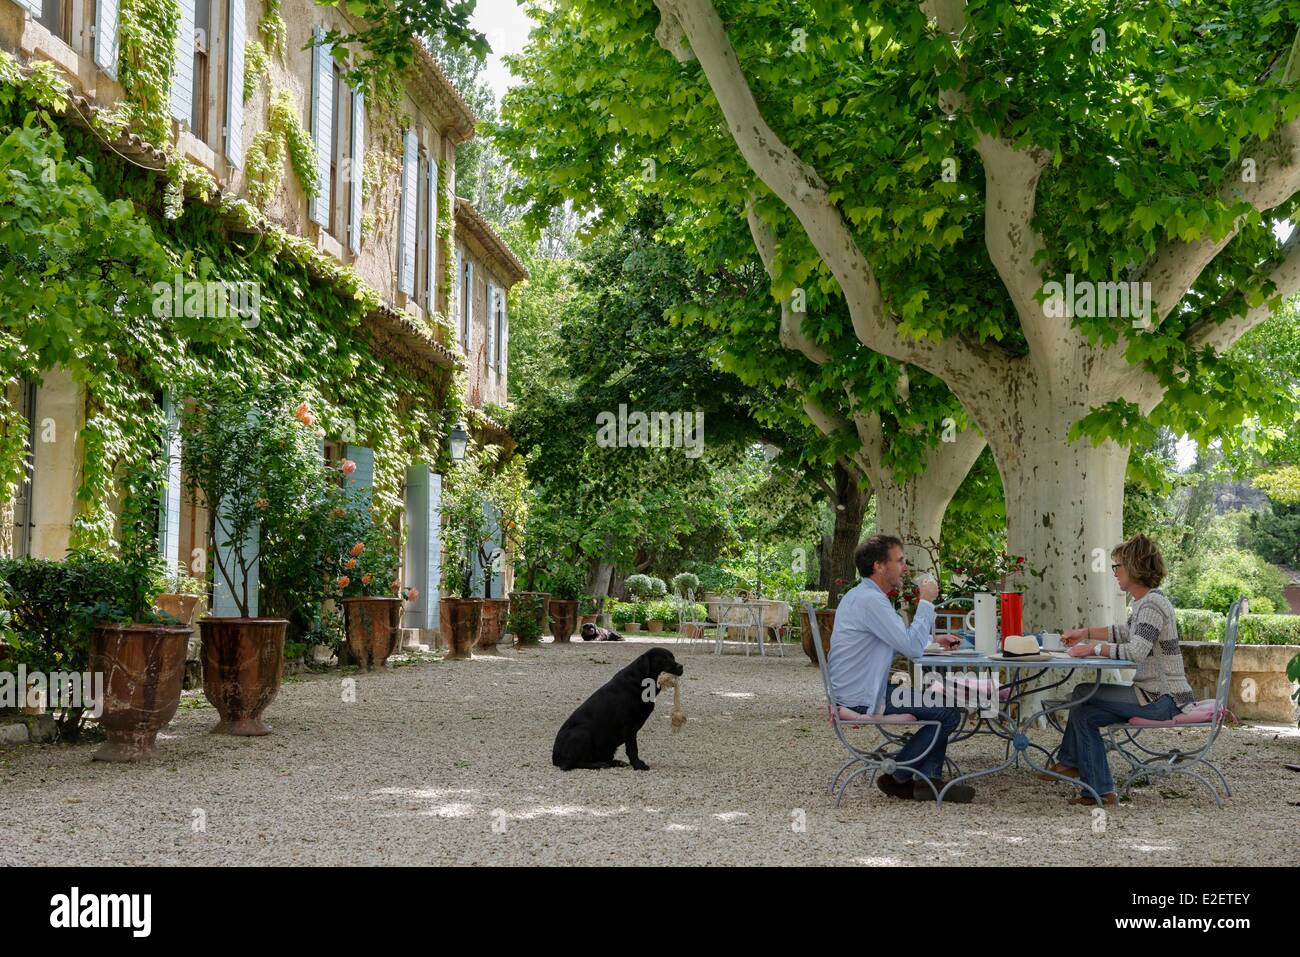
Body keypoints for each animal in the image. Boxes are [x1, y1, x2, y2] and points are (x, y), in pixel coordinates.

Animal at [553, 642, 686, 769]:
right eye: (664, 659)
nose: (681, 666)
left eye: (673, 657)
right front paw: (638, 765)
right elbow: (632, 749)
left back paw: (615, 762)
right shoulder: (629, 725)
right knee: (571, 764)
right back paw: (599, 765)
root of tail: (554, 758)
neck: (640, 681)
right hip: (582, 733)